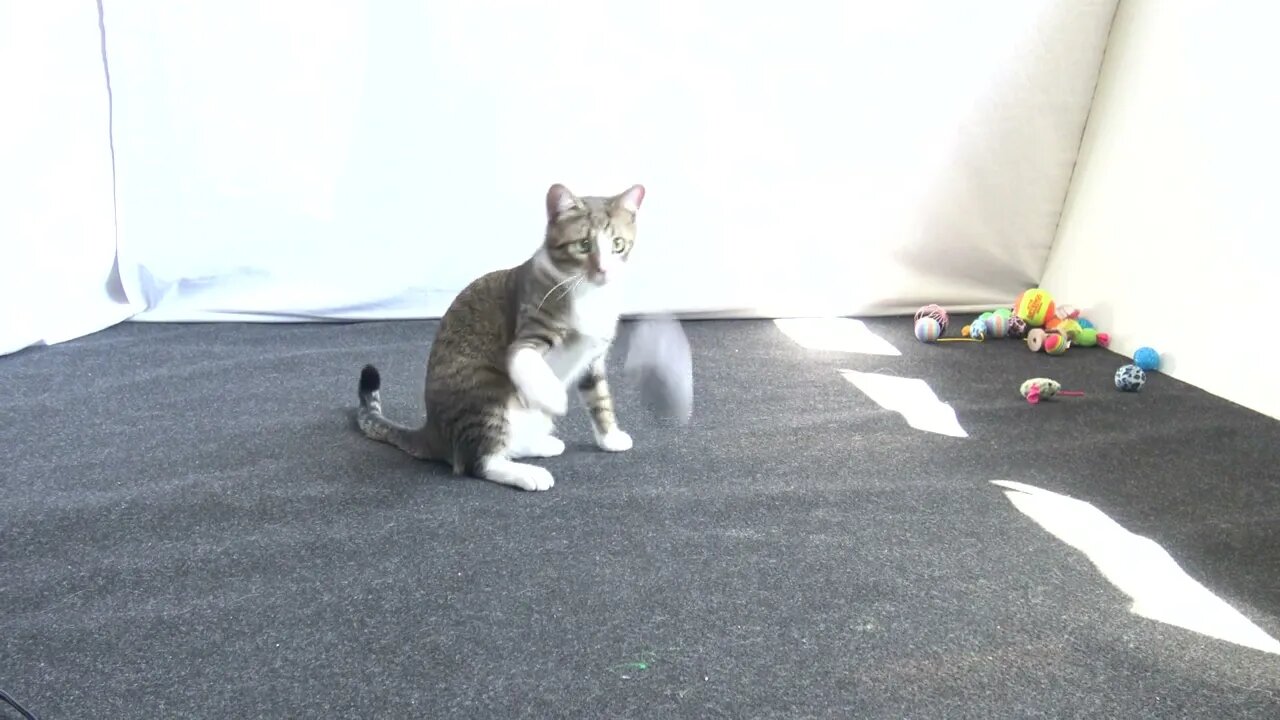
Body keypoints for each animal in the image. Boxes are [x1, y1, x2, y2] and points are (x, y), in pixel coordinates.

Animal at [355, 181, 645, 489]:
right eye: (584, 245)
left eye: (618, 245)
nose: (604, 269)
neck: (590, 297)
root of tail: (431, 432)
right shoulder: (530, 331)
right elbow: (525, 359)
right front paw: (555, 396)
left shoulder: (594, 357)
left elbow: (599, 396)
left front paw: (610, 437)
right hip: (485, 395)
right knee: (477, 462)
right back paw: (526, 473)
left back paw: (541, 444)